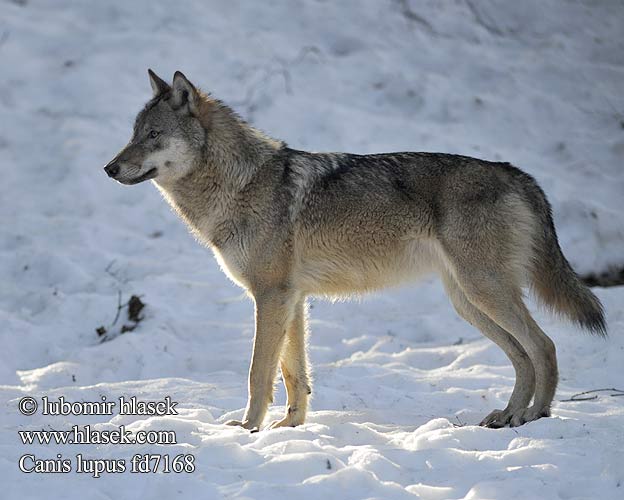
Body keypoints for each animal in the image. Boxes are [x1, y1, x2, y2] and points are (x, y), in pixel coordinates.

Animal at [105, 69, 608, 430]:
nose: (109, 168)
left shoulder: (271, 296)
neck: (240, 183)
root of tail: (518, 174)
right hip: (468, 302)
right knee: (523, 355)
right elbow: (294, 374)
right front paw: (290, 429)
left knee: (544, 346)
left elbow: (258, 372)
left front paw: (247, 429)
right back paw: (508, 416)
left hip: (484, 293)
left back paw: (534, 416)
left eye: (152, 136)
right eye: (132, 133)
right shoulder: (292, 300)